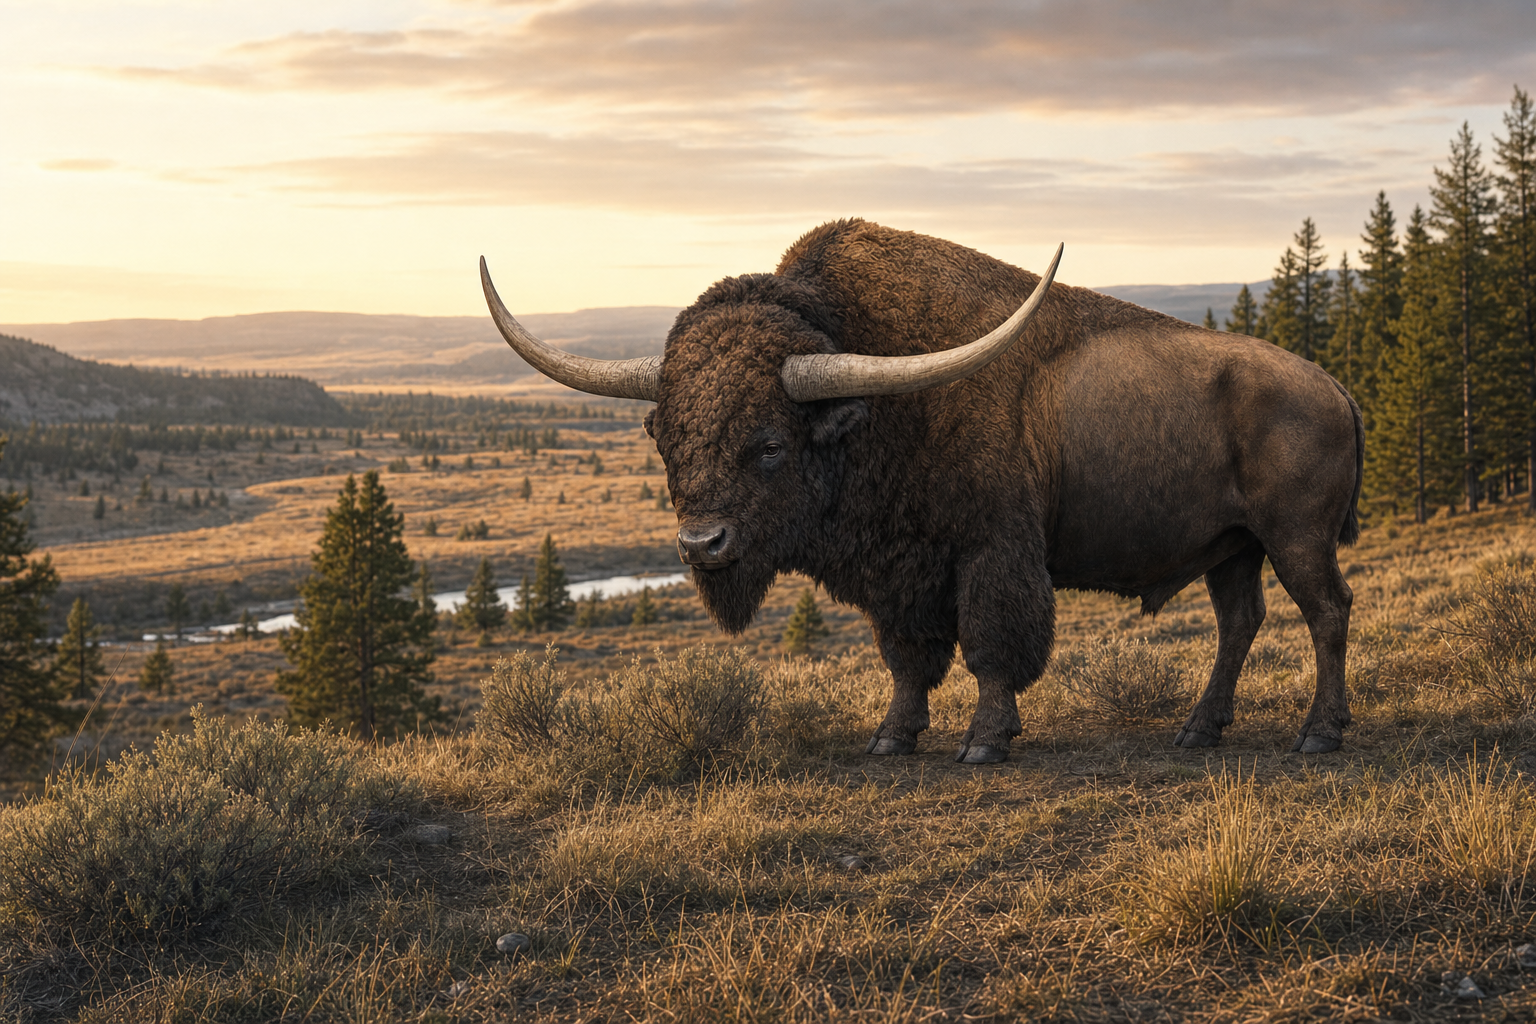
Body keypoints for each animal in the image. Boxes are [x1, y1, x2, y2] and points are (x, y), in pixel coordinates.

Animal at [480, 219, 1362, 762]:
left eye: (768, 445)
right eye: (664, 438)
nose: (703, 545)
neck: (866, 400)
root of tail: (1332, 386)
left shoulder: (990, 554)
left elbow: (991, 646)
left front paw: (984, 742)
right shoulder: (896, 576)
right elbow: (907, 659)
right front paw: (890, 738)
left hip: (1294, 539)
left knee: (1326, 612)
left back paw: (1318, 734)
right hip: (1233, 550)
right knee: (1239, 624)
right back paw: (1197, 731)